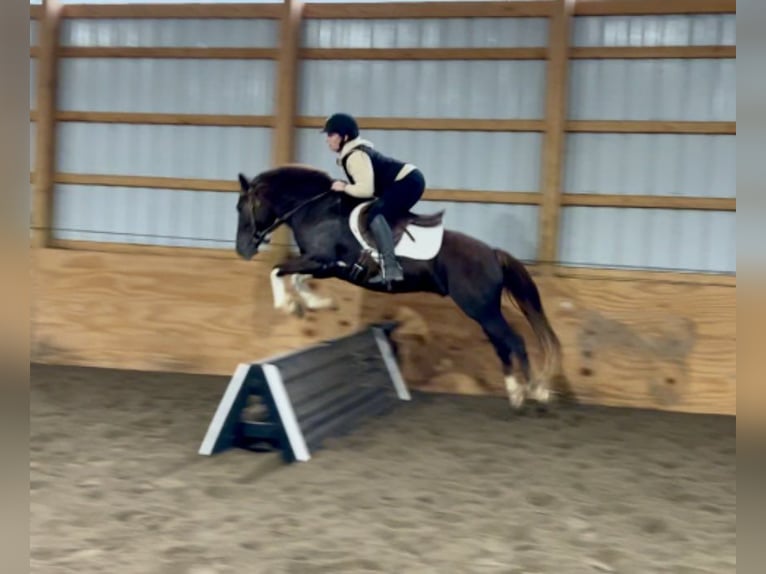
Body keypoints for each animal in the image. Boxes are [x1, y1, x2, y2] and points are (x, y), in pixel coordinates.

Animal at [237, 164, 568, 412]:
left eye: (244, 207)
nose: (242, 250)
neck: (316, 210)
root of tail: (492, 253)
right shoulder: (326, 265)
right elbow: (294, 277)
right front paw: (314, 304)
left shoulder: (321, 260)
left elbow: (278, 270)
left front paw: (290, 305)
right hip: (484, 311)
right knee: (502, 343)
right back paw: (517, 391)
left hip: (480, 308)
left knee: (514, 341)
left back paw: (533, 390)